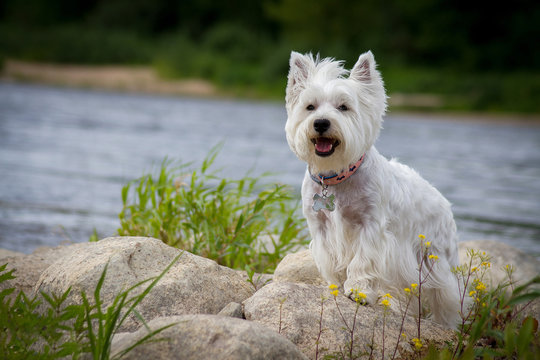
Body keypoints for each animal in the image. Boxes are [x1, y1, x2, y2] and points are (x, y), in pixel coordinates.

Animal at [286, 50, 460, 330]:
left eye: (343, 107)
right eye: (310, 107)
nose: (321, 123)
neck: (336, 177)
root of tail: (443, 200)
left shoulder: (371, 226)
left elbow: (363, 260)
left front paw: (359, 291)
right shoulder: (320, 227)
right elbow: (331, 260)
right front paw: (336, 286)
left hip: (436, 259)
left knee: (446, 298)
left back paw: (447, 325)